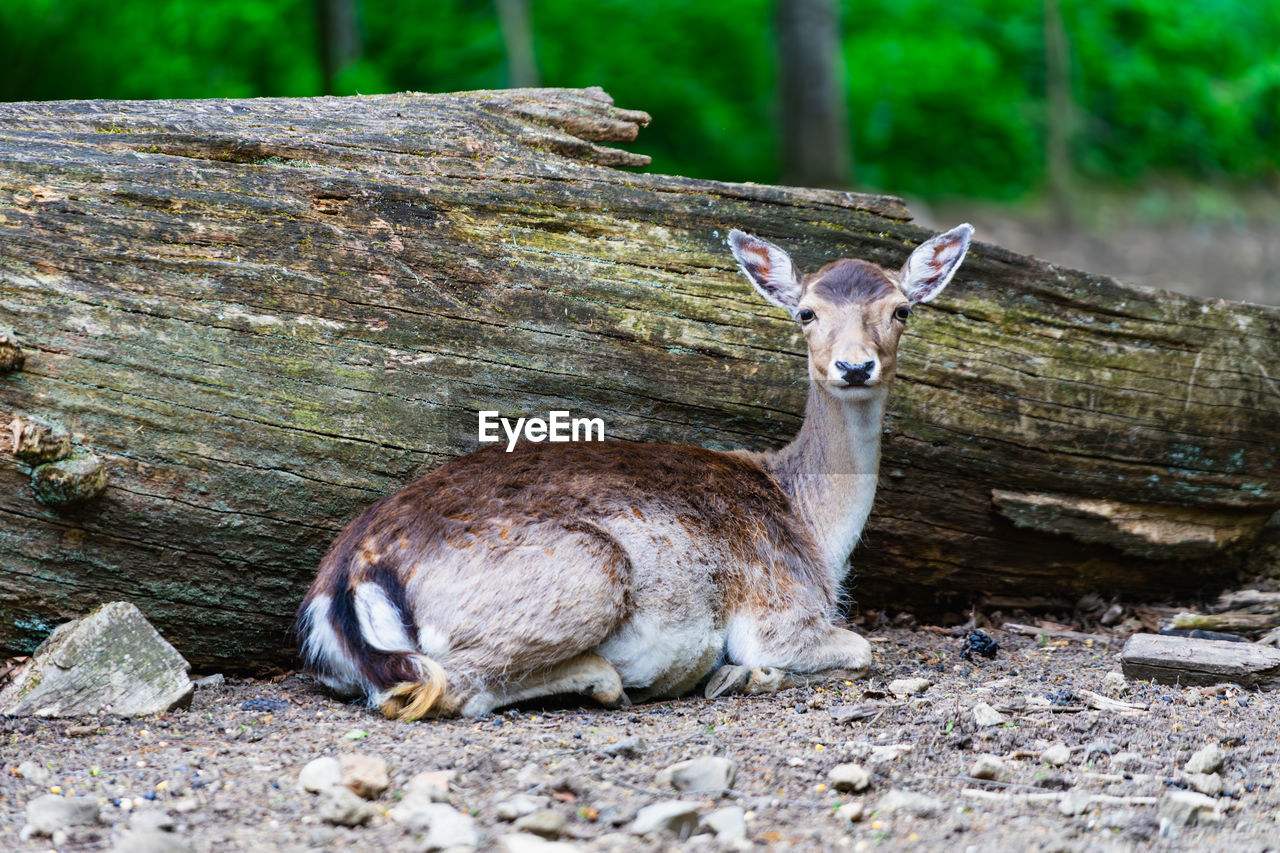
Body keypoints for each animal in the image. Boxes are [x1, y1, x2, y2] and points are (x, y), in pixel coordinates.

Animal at [294, 222, 972, 712]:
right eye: (805, 313)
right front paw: (746, 673)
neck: (813, 527)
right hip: (590, 569)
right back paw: (627, 676)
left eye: (902, 310)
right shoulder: (779, 610)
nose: (855, 366)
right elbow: (863, 649)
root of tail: (348, 582)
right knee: (452, 688)